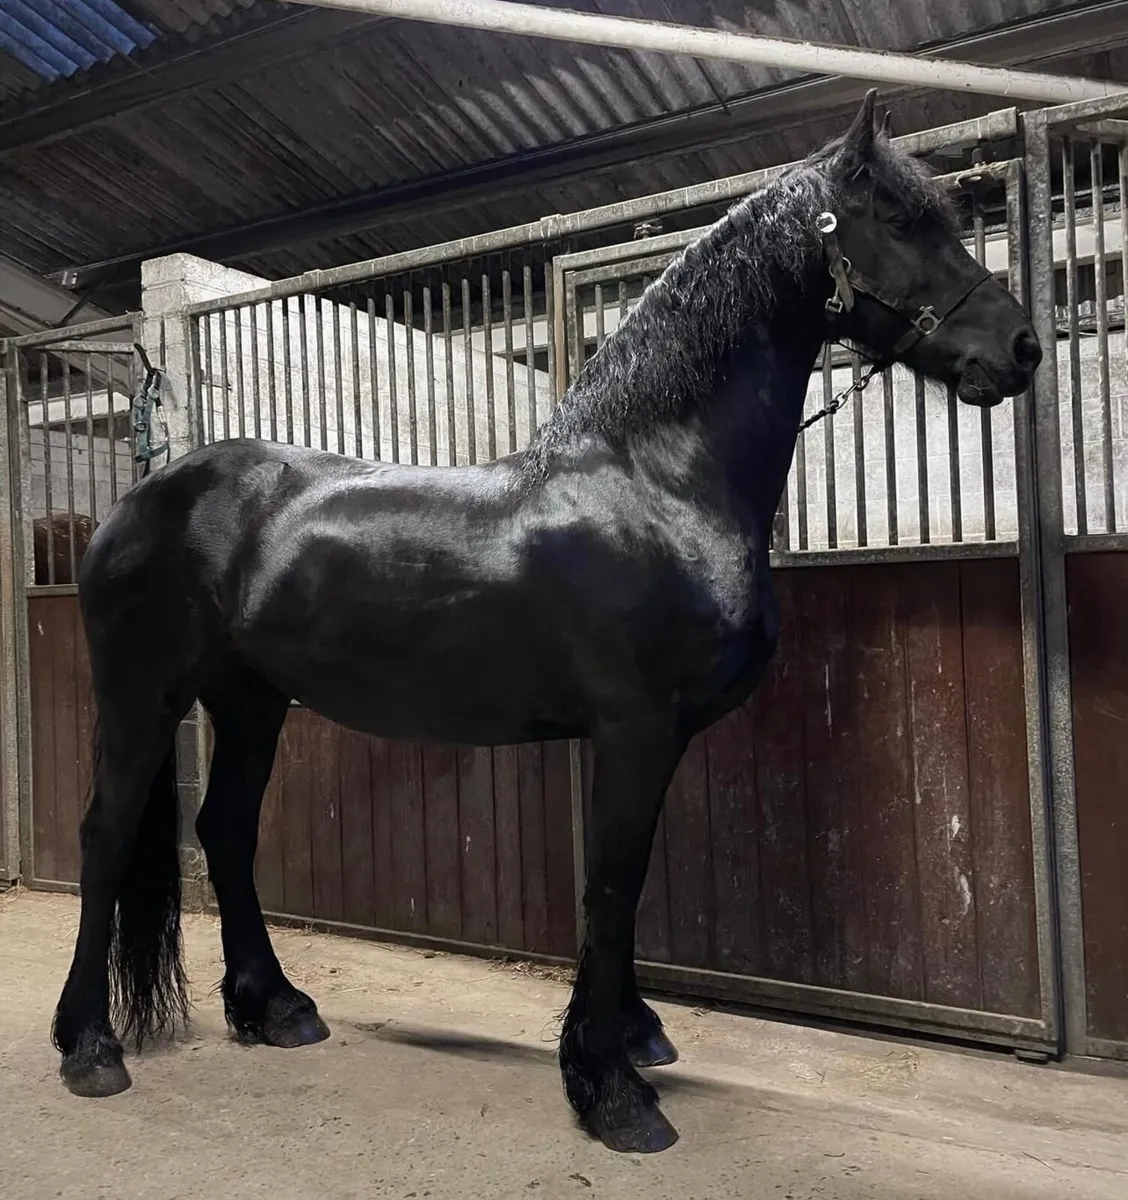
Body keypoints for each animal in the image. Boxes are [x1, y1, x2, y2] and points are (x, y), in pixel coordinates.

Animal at [51, 92, 1041, 1155]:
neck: (656, 482)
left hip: (250, 699)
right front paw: (611, 1090)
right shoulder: (635, 729)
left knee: (226, 831)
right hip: (144, 696)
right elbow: (612, 886)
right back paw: (90, 1047)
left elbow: (626, 885)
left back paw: (274, 1007)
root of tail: (144, 496)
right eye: (900, 221)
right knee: (106, 834)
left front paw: (631, 1038)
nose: (1021, 350)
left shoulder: (650, 736)